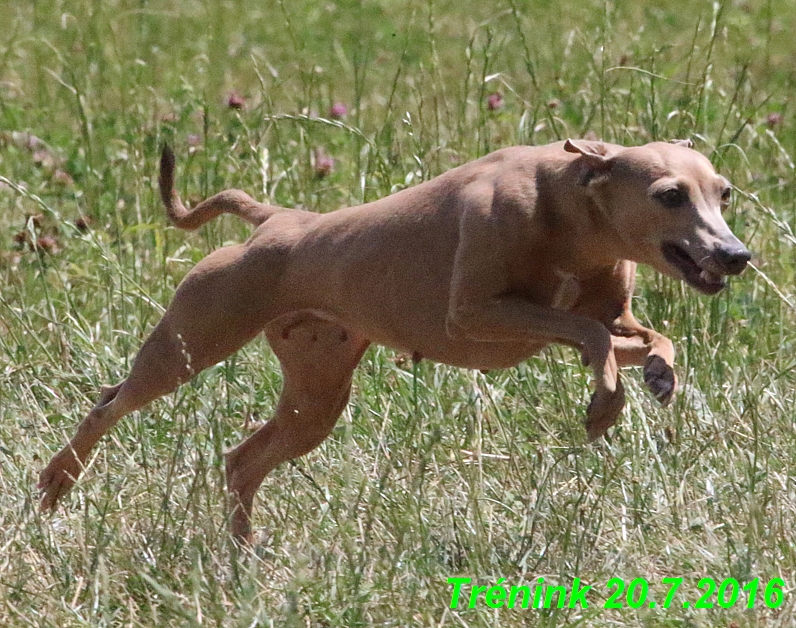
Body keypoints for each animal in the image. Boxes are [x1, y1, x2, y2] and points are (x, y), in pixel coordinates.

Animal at [38, 140, 748, 544]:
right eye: (669, 194)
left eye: (723, 191)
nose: (737, 255)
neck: (569, 205)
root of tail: (273, 220)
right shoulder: (476, 316)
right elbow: (589, 332)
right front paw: (605, 404)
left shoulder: (598, 319)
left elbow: (637, 335)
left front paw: (654, 375)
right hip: (190, 342)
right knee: (109, 402)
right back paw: (55, 483)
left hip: (316, 399)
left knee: (241, 462)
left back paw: (240, 561)